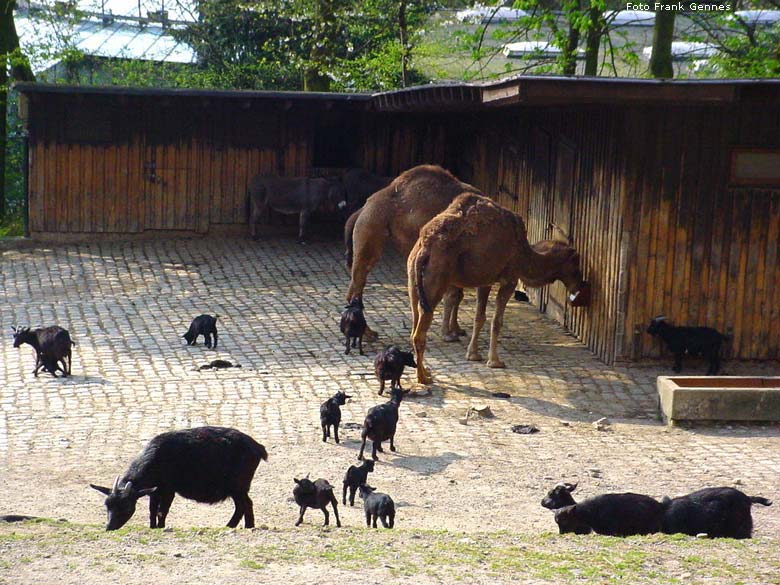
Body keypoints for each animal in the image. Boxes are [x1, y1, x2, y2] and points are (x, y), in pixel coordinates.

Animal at [90, 424, 266, 528]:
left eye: (127, 506)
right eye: (107, 505)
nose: (109, 527)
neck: (156, 458)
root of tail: (258, 447)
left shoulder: (169, 490)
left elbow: (162, 511)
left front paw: (160, 527)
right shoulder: (155, 491)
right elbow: (152, 510)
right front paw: (153, 527)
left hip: (238, 486)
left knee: (245, 504)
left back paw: (240, 526)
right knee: (243, 505)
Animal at [346, 163, 482, 338]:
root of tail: (363, 208)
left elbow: (458, 294)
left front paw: (457, 329)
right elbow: (452, 295)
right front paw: (448, 334)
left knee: (357, 283)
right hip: (371, 224)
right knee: (359, 280)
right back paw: (367, 333)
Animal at [408, 193, 584, 384]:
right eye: (576, 265)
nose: (580, 286)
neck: (524, 252)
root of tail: (424, 248)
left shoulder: (485, 280)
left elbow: (479, 317)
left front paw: (473, 355)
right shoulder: (510, 279)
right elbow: (497, 321)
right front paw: (495, 361)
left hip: (413, 279)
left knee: (415, 320)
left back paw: (425, 372)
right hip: (436, 277)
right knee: (419, 333)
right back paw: (423, 378)